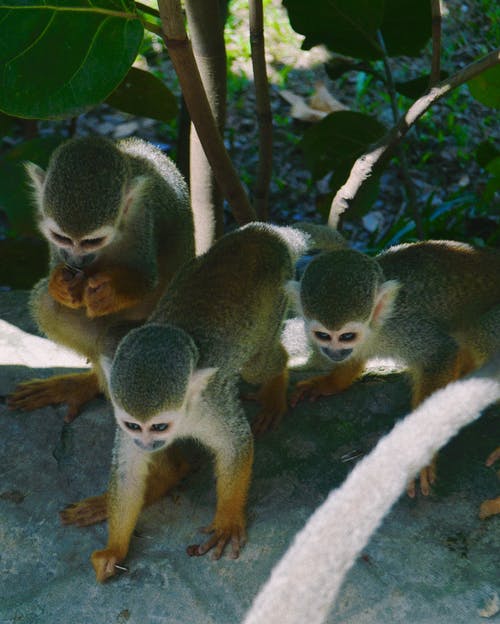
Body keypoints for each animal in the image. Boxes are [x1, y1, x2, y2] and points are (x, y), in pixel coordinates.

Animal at [8, 135, 195, 420]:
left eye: (92, 241)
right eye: (62, 238)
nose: (76, 260)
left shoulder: (143, 216)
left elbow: (146, 278)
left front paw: (110, 292)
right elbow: (55, 275)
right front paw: (60, 284)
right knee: (48, 305)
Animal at [59, 222, 348, 584]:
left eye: (159, 426)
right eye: (134, 426)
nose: (146, 442)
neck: (184, 415)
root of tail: (267, 231)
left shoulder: (211, 405)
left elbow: (235, 446)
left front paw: (227, 520)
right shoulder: (123, 411)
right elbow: (129, 473)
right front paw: (115, 548)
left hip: (275, 300)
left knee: (259, 364)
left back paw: (275, 386)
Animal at [288, 240, 498, 498]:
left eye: (346, 336)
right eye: (323, 336)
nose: (334, 353)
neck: (375, 327)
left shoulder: (403, 327)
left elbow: (440, 353)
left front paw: (420, 451)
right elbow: (354, 359)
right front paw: (328, 383)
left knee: (480, 333)